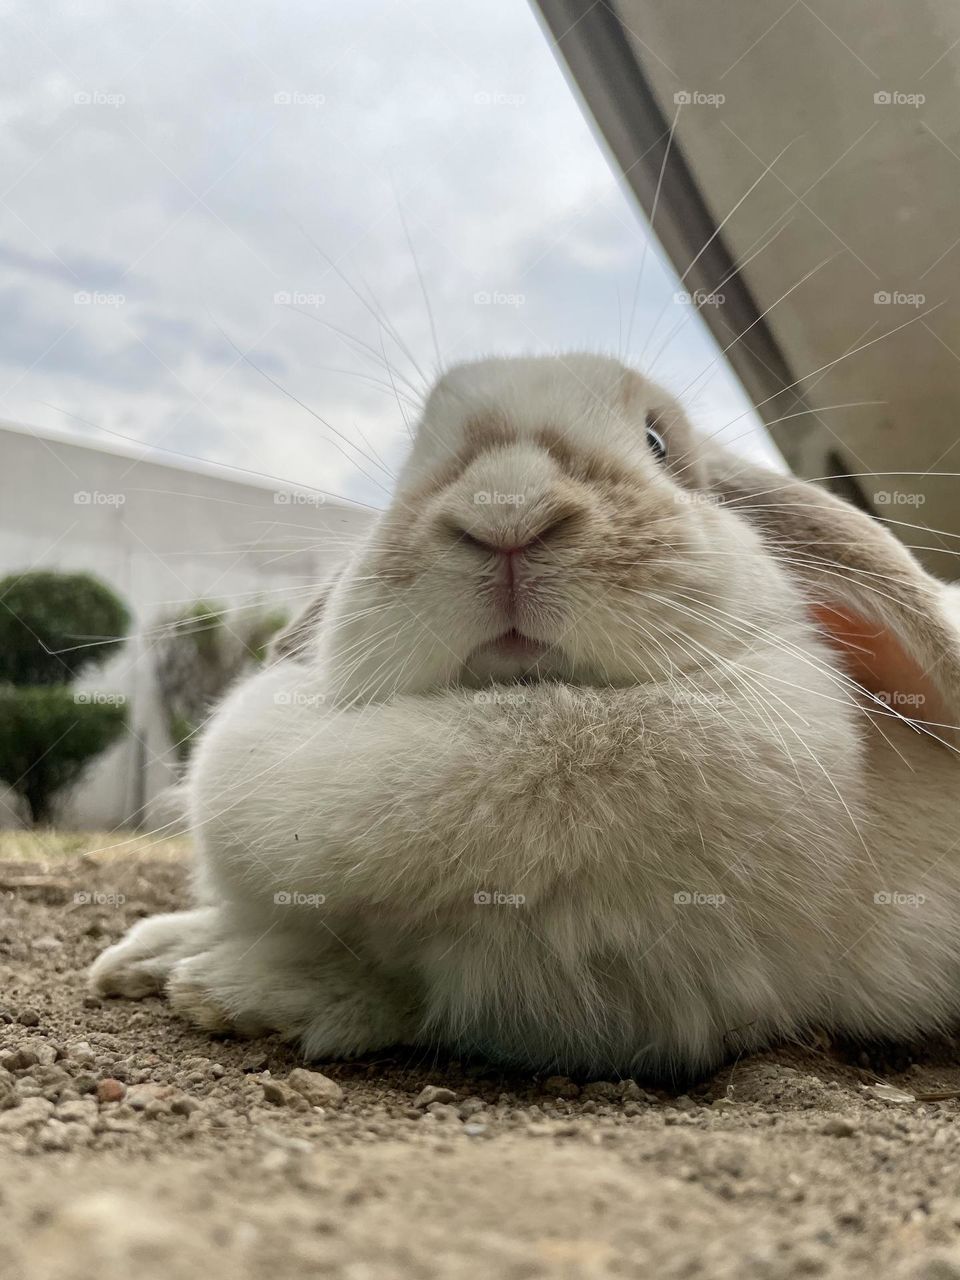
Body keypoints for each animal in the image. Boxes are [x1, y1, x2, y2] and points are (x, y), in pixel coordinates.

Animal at [90, 353, 960, 1081]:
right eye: (414, 457)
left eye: (659, 442)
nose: (505, 516)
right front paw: (146, 954)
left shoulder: (615, 1005)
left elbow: (403, 990)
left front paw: (230, 989)